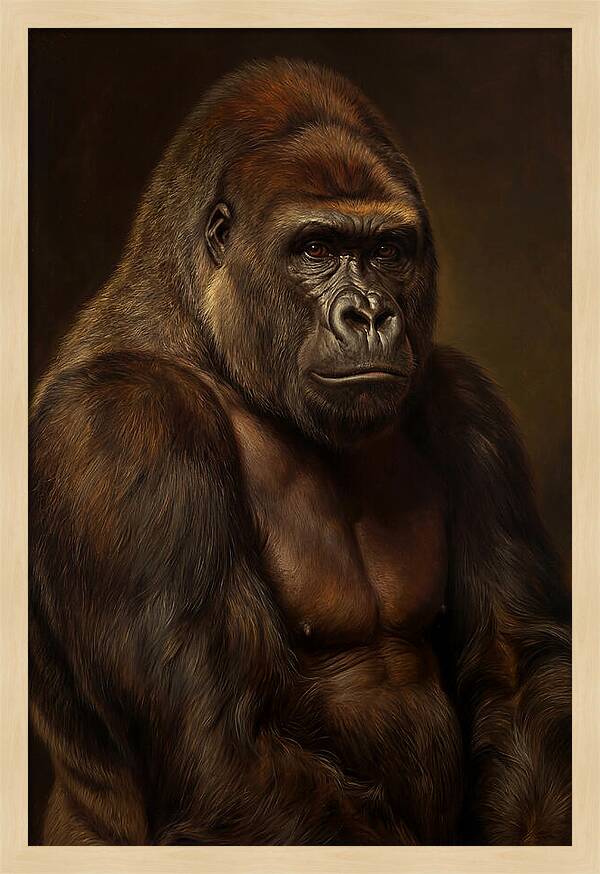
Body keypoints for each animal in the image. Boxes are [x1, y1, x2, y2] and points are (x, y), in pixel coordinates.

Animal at [29, 58, 571, 845]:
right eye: (316, 248)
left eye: (387, 251)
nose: (370, 315)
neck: (210, 341)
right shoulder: (124, 424)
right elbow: (220, 749)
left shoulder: (468, 405)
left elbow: (516, 667)